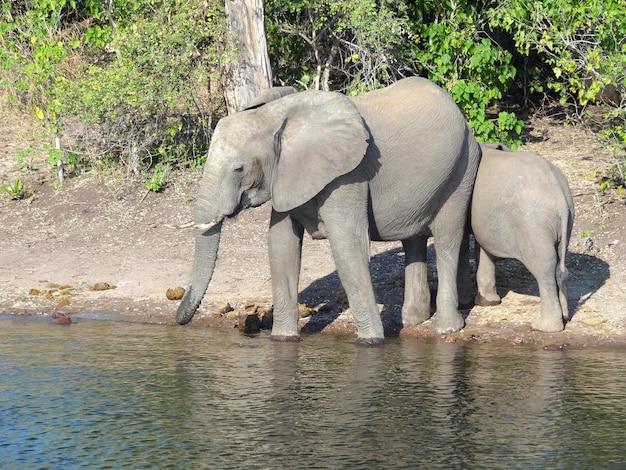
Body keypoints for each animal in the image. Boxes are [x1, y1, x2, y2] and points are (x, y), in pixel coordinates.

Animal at [176, 76, 482, 342]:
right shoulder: (287, 175)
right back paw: (413, 321)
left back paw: (446, 329)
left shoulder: (348, 175)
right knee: (414, 240)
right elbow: (281, 246)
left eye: (239, 168)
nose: (179, 319)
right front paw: (282, 340)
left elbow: (348, 245)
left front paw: (371, 342)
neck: (276, 115)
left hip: (462, 167)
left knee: (446, 239)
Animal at [470, 143, 572, 330]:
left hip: (533, 224)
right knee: (560, 263)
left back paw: (543, 327)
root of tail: (560, 198)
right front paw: (487, 303)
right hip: (565, 220)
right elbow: (484, 246)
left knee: (543, 267)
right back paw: (565, 318)